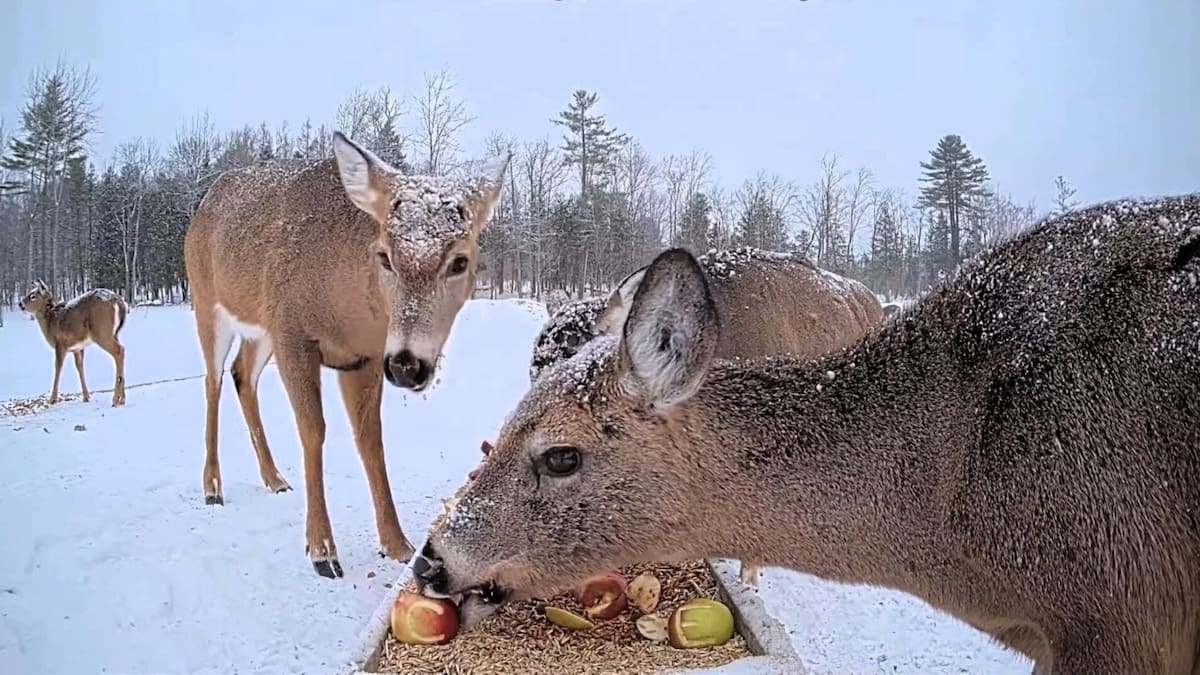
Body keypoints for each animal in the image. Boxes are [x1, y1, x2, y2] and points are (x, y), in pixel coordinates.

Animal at [183, 132, 509, 579]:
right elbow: (313, 430)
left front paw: (398, 544)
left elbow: (370, 438)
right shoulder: (293, 333)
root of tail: (204, 204)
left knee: (241, 374)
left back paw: (275, 478)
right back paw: (212, 487)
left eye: (460, 261)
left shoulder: (363, 358)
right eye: (384, 255)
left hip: (260, 328)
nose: (407, 365)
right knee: (212, 379)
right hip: (207, 301)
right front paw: (323, 551)